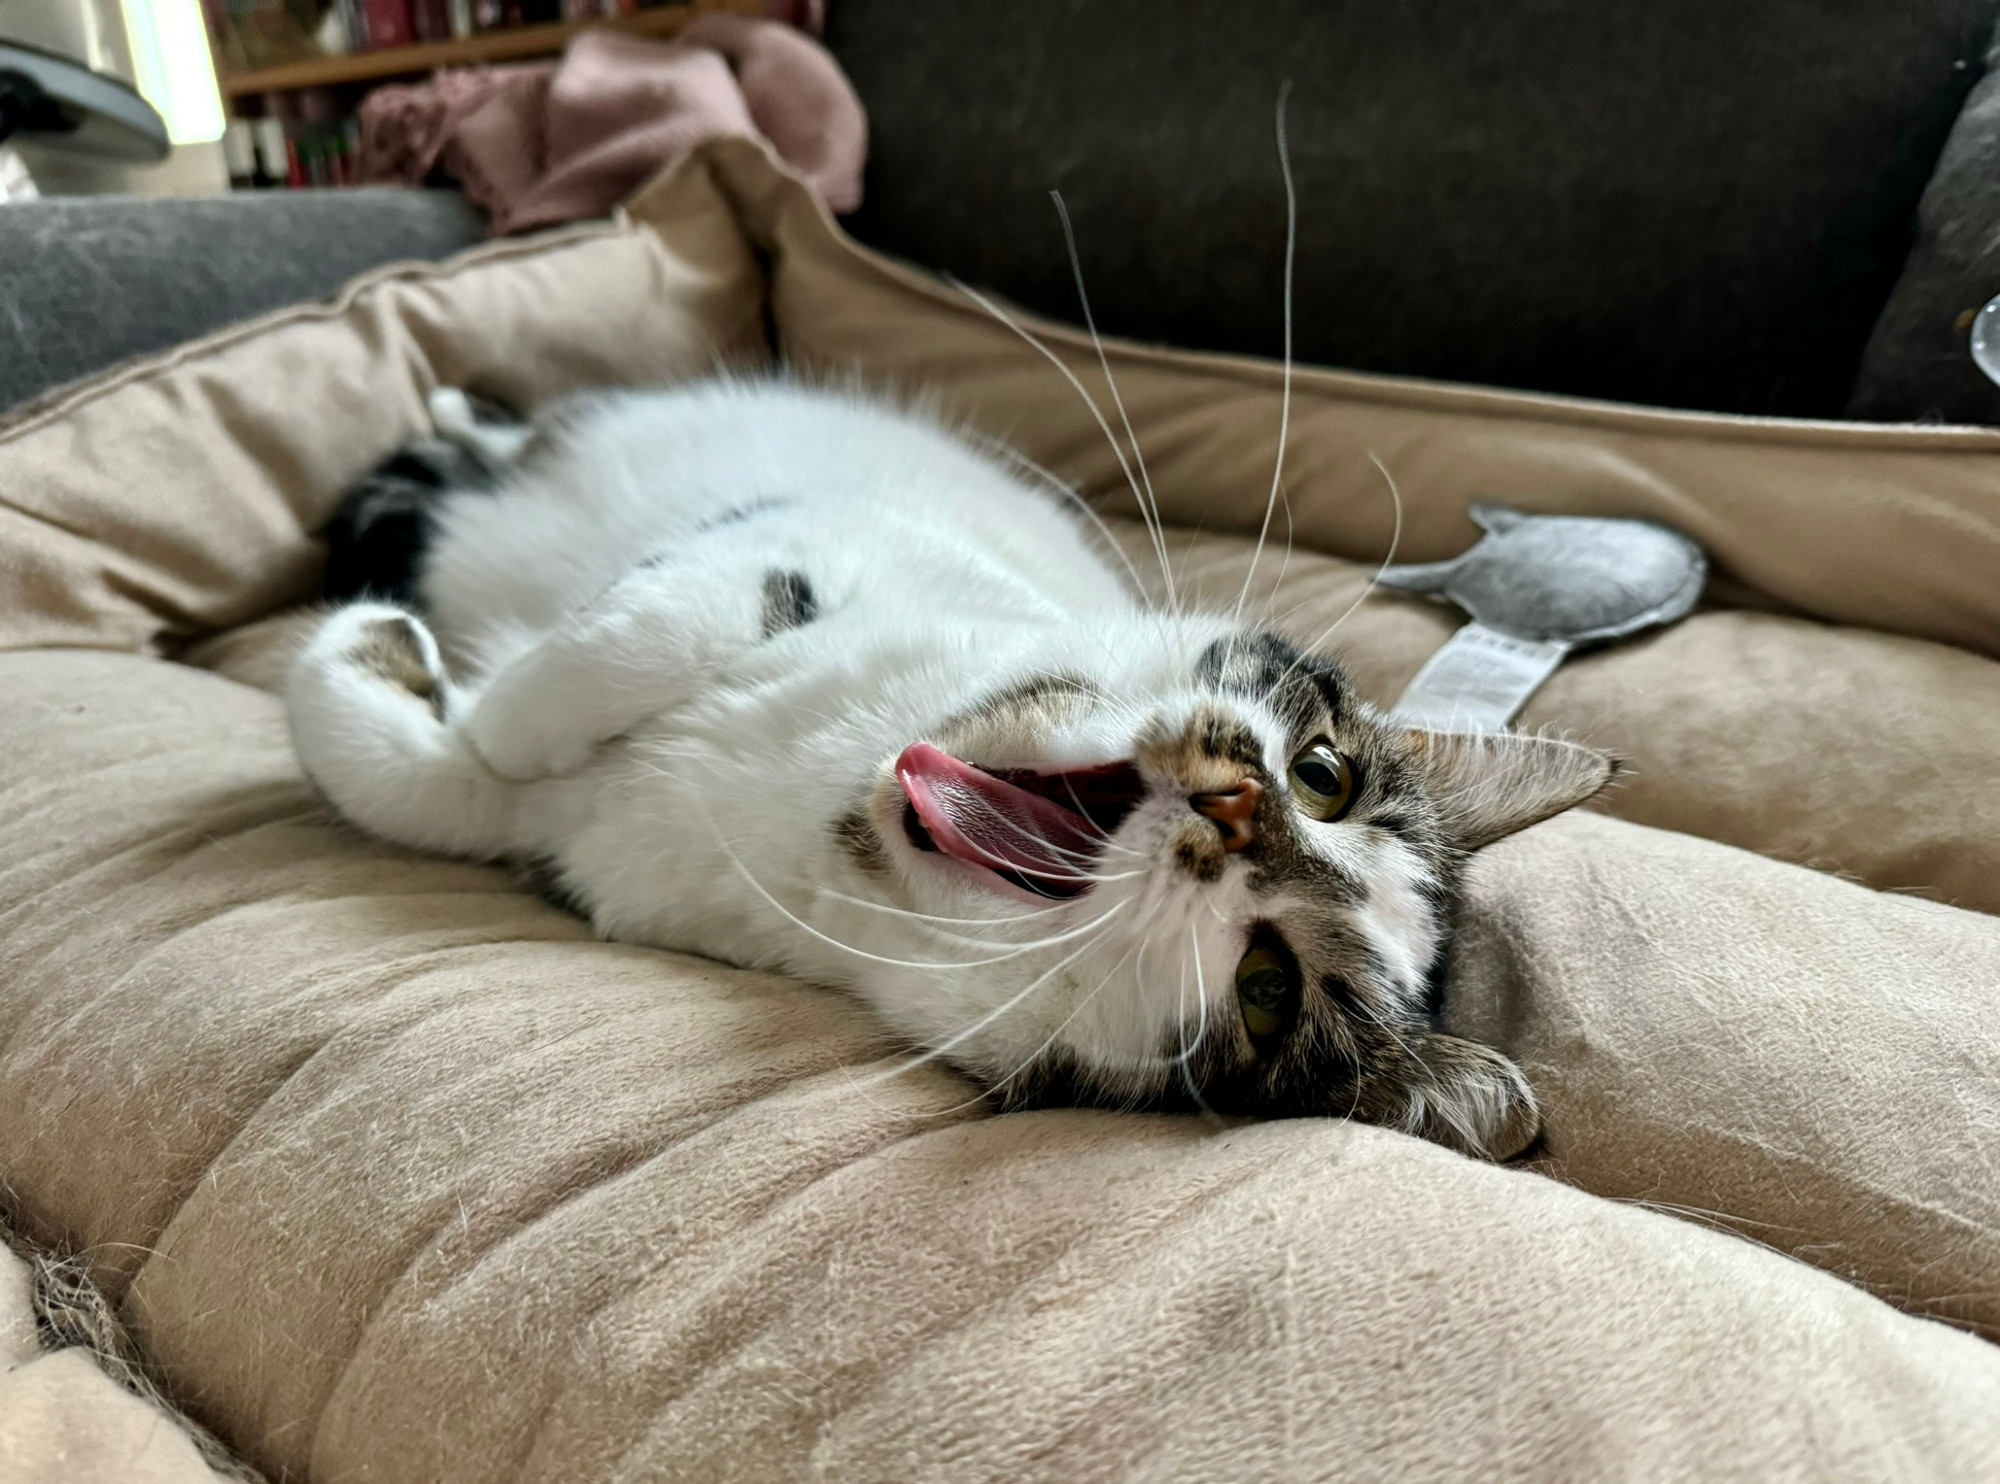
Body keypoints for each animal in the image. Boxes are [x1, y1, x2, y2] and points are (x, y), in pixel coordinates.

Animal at [290, 372, 1616, 1160]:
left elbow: (423, 782)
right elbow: (624, 643)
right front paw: (462, 691)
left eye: (1266, 988)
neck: (828, 803)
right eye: (1324, 775)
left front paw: (390, 663)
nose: (1234, 807)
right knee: (497, 439)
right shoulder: (802, 547)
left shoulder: (579, 843)